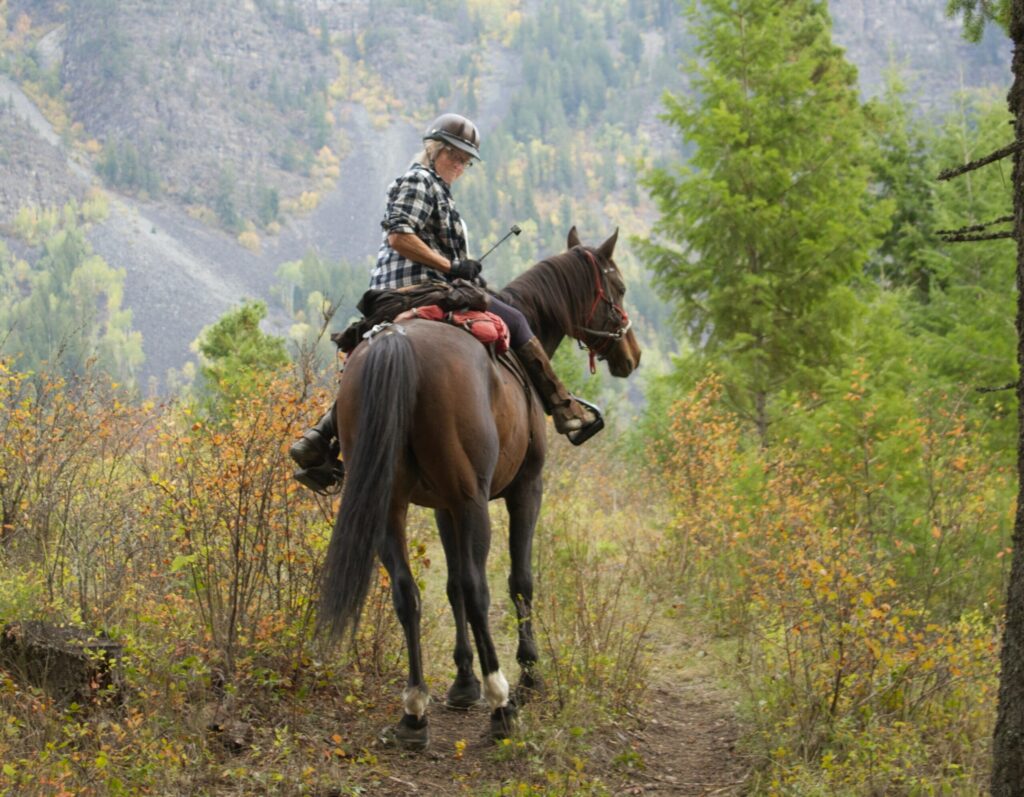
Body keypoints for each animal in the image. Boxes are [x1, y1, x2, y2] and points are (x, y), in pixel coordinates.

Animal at [317, 226, 638, 749]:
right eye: (620, 287)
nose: (632, 354)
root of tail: (397, 342)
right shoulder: (523, 490)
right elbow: (517, 581)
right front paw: (528, 674)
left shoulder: (442, 507)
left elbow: (450, 589)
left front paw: (462, 682)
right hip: (474, 504)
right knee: (479, 587)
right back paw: (501, 703)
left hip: (390, 506)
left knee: (408, 593)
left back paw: (414, 713)